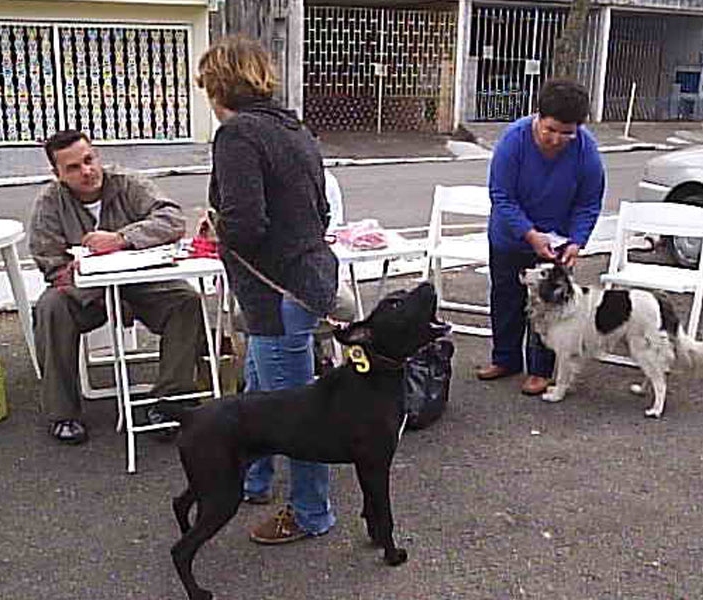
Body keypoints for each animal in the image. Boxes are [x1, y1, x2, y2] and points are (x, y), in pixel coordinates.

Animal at [158, 282, 452, 600]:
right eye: (396, 305)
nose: (429, 285)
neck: (374, 375)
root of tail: (189, 414)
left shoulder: (366, 467)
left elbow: (371, 507)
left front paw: (375, 540)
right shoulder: (376, 465)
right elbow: (384, 514)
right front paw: (392, 555)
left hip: (210, 480)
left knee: (179, 503)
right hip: (221, 492)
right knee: (180, 550)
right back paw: (197, 591)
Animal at [520, 264, 703, 420]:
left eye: (544, 273)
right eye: (537, 266)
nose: (522, 271)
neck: (561, 301)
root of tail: (662, 301)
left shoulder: (566, 352)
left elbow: (562, 377)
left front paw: (556, 395)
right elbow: (570, 374)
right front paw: (565, 390)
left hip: (643, 348)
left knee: (660, 382)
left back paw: (655, 411)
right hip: (644, 348)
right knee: (655, 374)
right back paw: (641, 390)